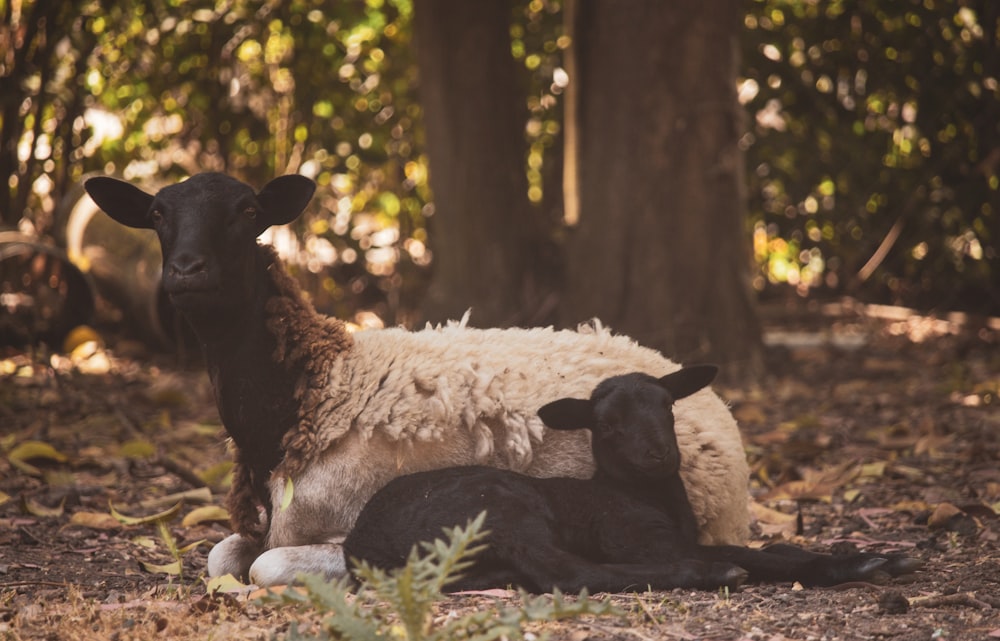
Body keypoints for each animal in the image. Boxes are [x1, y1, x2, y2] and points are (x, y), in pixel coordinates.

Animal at [86, 170, 752, 584]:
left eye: (248, 211)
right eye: (156, 213)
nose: (185, 271)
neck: (312, 396)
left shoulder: (347, 530)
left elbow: (261, 567)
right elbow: (223, 557)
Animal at [344, 362, 920, 592]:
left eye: (667, 405)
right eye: (606, 425)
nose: (658, 455)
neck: (644, 495)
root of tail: (364, 550)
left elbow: (777, 550)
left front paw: (878, 557)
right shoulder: (642, 540)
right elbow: (758, 555)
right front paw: (861, 564)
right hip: (498, 506)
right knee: (565, 573)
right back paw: (710, 575)